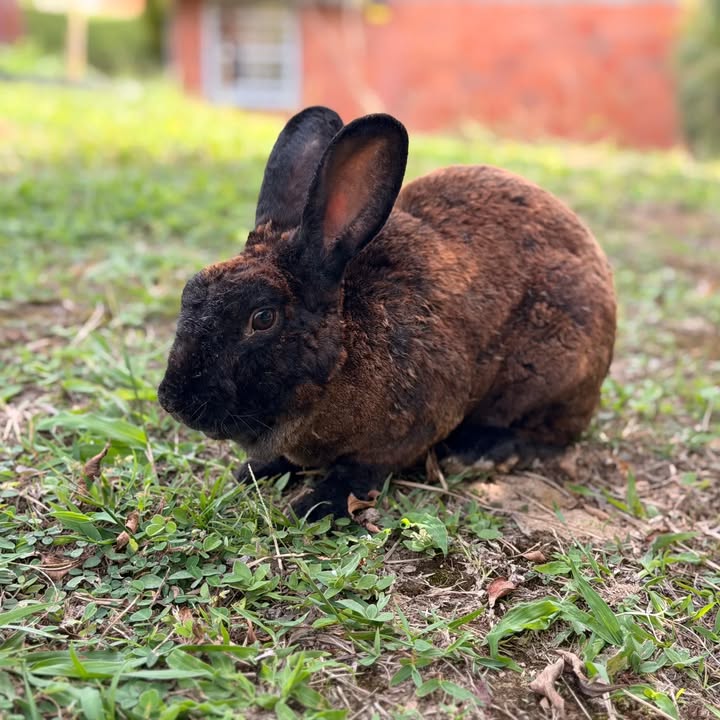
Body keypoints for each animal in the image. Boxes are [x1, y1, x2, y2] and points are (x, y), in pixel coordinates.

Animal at [158, 106, 616, 521]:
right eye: (189, 291)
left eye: (263, 317)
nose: (173, 401)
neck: (345, 348)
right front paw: (253, 471)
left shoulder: (414, 423)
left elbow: (362, 469)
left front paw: (315, 505)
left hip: (556, 369)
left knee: (555, 434)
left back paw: (485, 453)